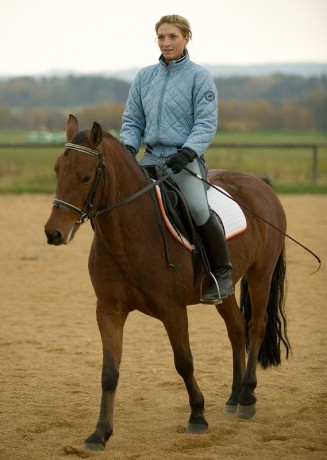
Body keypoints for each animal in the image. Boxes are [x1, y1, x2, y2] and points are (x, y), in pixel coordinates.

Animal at [44, 114, 292, 450]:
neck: (130, 233)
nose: (53, 232)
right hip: (224, 290)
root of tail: (260, 185)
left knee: (255, 327)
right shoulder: (108, 311)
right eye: (58, 170)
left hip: (260, 274)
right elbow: (109, 372)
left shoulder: (173, 311)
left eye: (85, 177)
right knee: (236, 328)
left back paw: (248, 396)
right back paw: (234, 395)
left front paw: (197, 416)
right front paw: (100, 432)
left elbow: (184, 362)